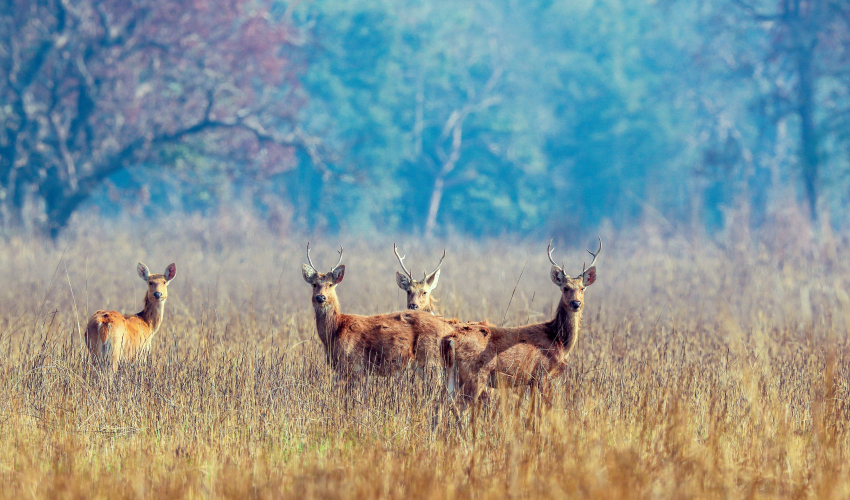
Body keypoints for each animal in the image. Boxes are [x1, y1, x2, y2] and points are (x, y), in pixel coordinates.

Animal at [300, 242, 458, 376]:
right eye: (314, 284)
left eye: (330, 284)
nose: (320, 297)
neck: (335, 331)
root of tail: (447, 329)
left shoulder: (355, 364)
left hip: (431, 361)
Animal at [440, 239, 600, 410]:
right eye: (565, 288)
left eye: (582, 288)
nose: (576, 303)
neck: (558, 340)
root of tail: (450, 339)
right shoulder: (542, 374)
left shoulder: (532, 380)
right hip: (475, 375)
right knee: (460, 407)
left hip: (450, 373)